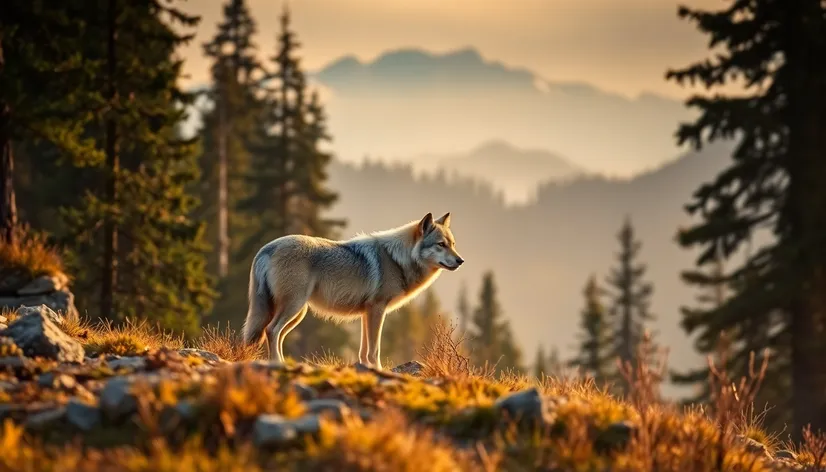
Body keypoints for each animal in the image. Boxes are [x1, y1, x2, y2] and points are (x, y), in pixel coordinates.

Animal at [243, 212, 464, 370]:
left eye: (453, 244)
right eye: (441, 245)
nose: (460, 260)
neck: (396, 260)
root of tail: (266, 248)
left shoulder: (367, 313)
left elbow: (364, 350)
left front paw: (366, 368)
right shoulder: (377, 309)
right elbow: (375, 349)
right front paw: (378, 370)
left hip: (297, 313)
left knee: (276, 334)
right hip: (293, 308)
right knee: (271, 330)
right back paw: (277, 364)